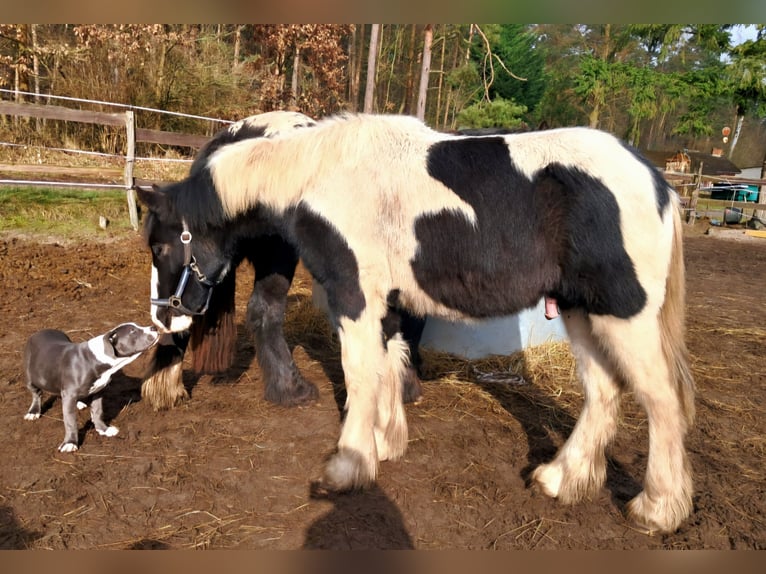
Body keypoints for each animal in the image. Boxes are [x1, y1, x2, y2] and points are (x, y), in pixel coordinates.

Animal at [23, 324, 160, 454]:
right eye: (132, 331)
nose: (154, 327)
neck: (97, 359)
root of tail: (39, 332)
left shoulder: (98, 391)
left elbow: (98, 411)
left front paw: (103, 429)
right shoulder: (69, 394)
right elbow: (70, 421)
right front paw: (70, 443)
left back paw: (79, 403)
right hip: (31, 377)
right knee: (36, 394)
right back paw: (33, 411)